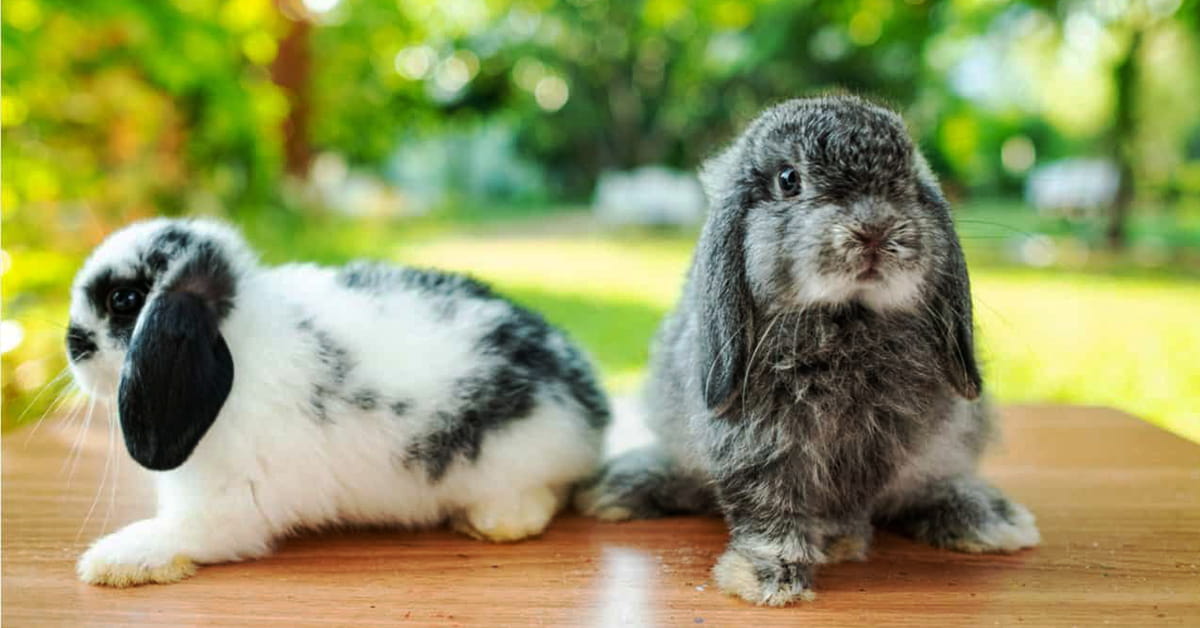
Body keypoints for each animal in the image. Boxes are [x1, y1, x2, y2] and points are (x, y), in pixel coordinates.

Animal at [65, 218, 610, 587]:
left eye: (123, 300)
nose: (72, 345)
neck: (239, 338)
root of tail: (591, 404)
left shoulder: (232, 508)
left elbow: (180, 533)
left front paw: (109, 560)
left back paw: (490, 524)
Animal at [575, 95, 1039, 606]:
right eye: (788, 179)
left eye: (908, 182)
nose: (875, 230)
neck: (845, 319)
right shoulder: (755, 444)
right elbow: (767, 508)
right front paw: (770, 580)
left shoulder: (878, 447)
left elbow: (849, 503)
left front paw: (836, 543)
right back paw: (620, 491)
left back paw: (989, 520)